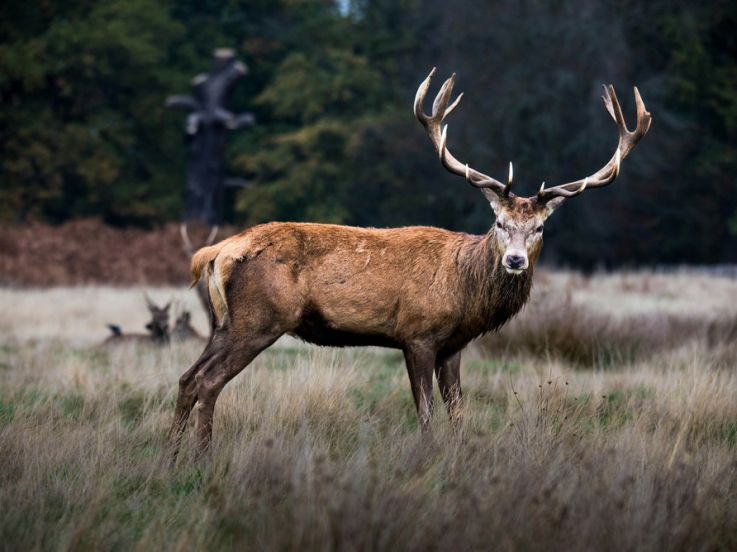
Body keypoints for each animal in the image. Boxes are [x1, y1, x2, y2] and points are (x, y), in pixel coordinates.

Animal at [167, 68, 652, 461]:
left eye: (539, 227)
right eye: (499, 222)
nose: (514, 260)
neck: (466, 291)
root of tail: (216, 252)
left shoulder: (454, 346)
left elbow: (459, 412)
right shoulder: (417, 334)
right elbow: (426, 413)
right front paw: (429, 456)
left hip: (223, 323)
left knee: (187, 378)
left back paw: (170, 456)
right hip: (259, 319)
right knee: (209, 381)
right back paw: (202, 457)